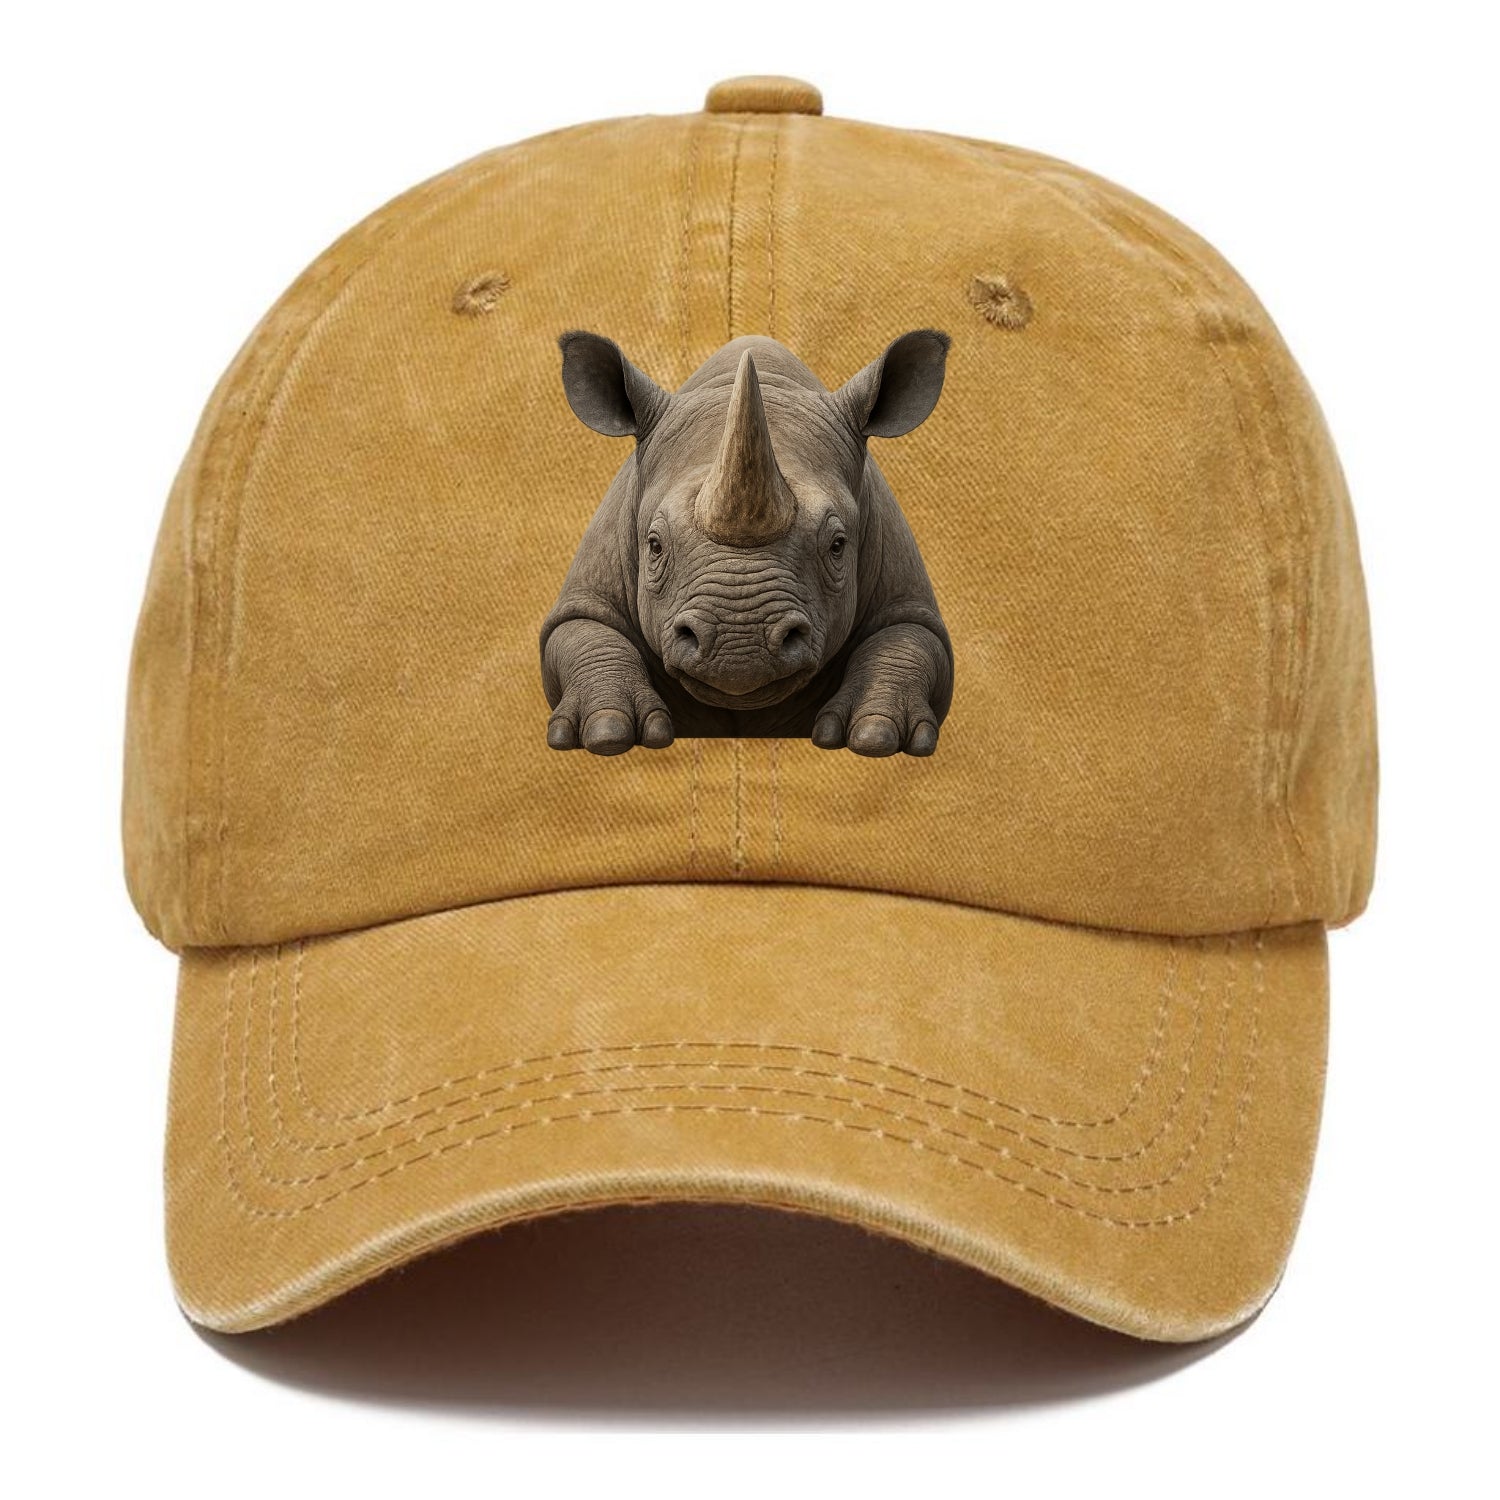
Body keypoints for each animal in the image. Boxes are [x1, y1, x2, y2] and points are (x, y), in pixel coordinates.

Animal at [540, 329, 954, 757]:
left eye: (837, 545)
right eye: (654, 546)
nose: (740, 647)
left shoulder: (904, 593)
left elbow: (908, 638)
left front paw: (876, 736)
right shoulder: (588, 593)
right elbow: (584, 631)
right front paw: (606, 733)